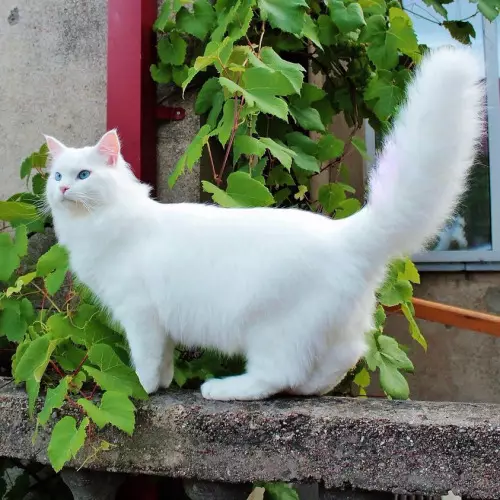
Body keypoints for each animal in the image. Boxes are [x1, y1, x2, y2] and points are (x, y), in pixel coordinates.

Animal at [46, 46, 484, 398]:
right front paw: (165, 383)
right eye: (56, 175)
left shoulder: (140, 314)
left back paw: (224, 389)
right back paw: (310, 390)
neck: (101, 224)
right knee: (344, 358)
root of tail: (346, 233)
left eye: (83, 175)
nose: (63, 188)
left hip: (273, 331)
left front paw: (143, 388)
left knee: (275, 376)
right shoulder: (156, 322)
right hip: (337, 325)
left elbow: (147, 360)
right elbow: (166, 360)